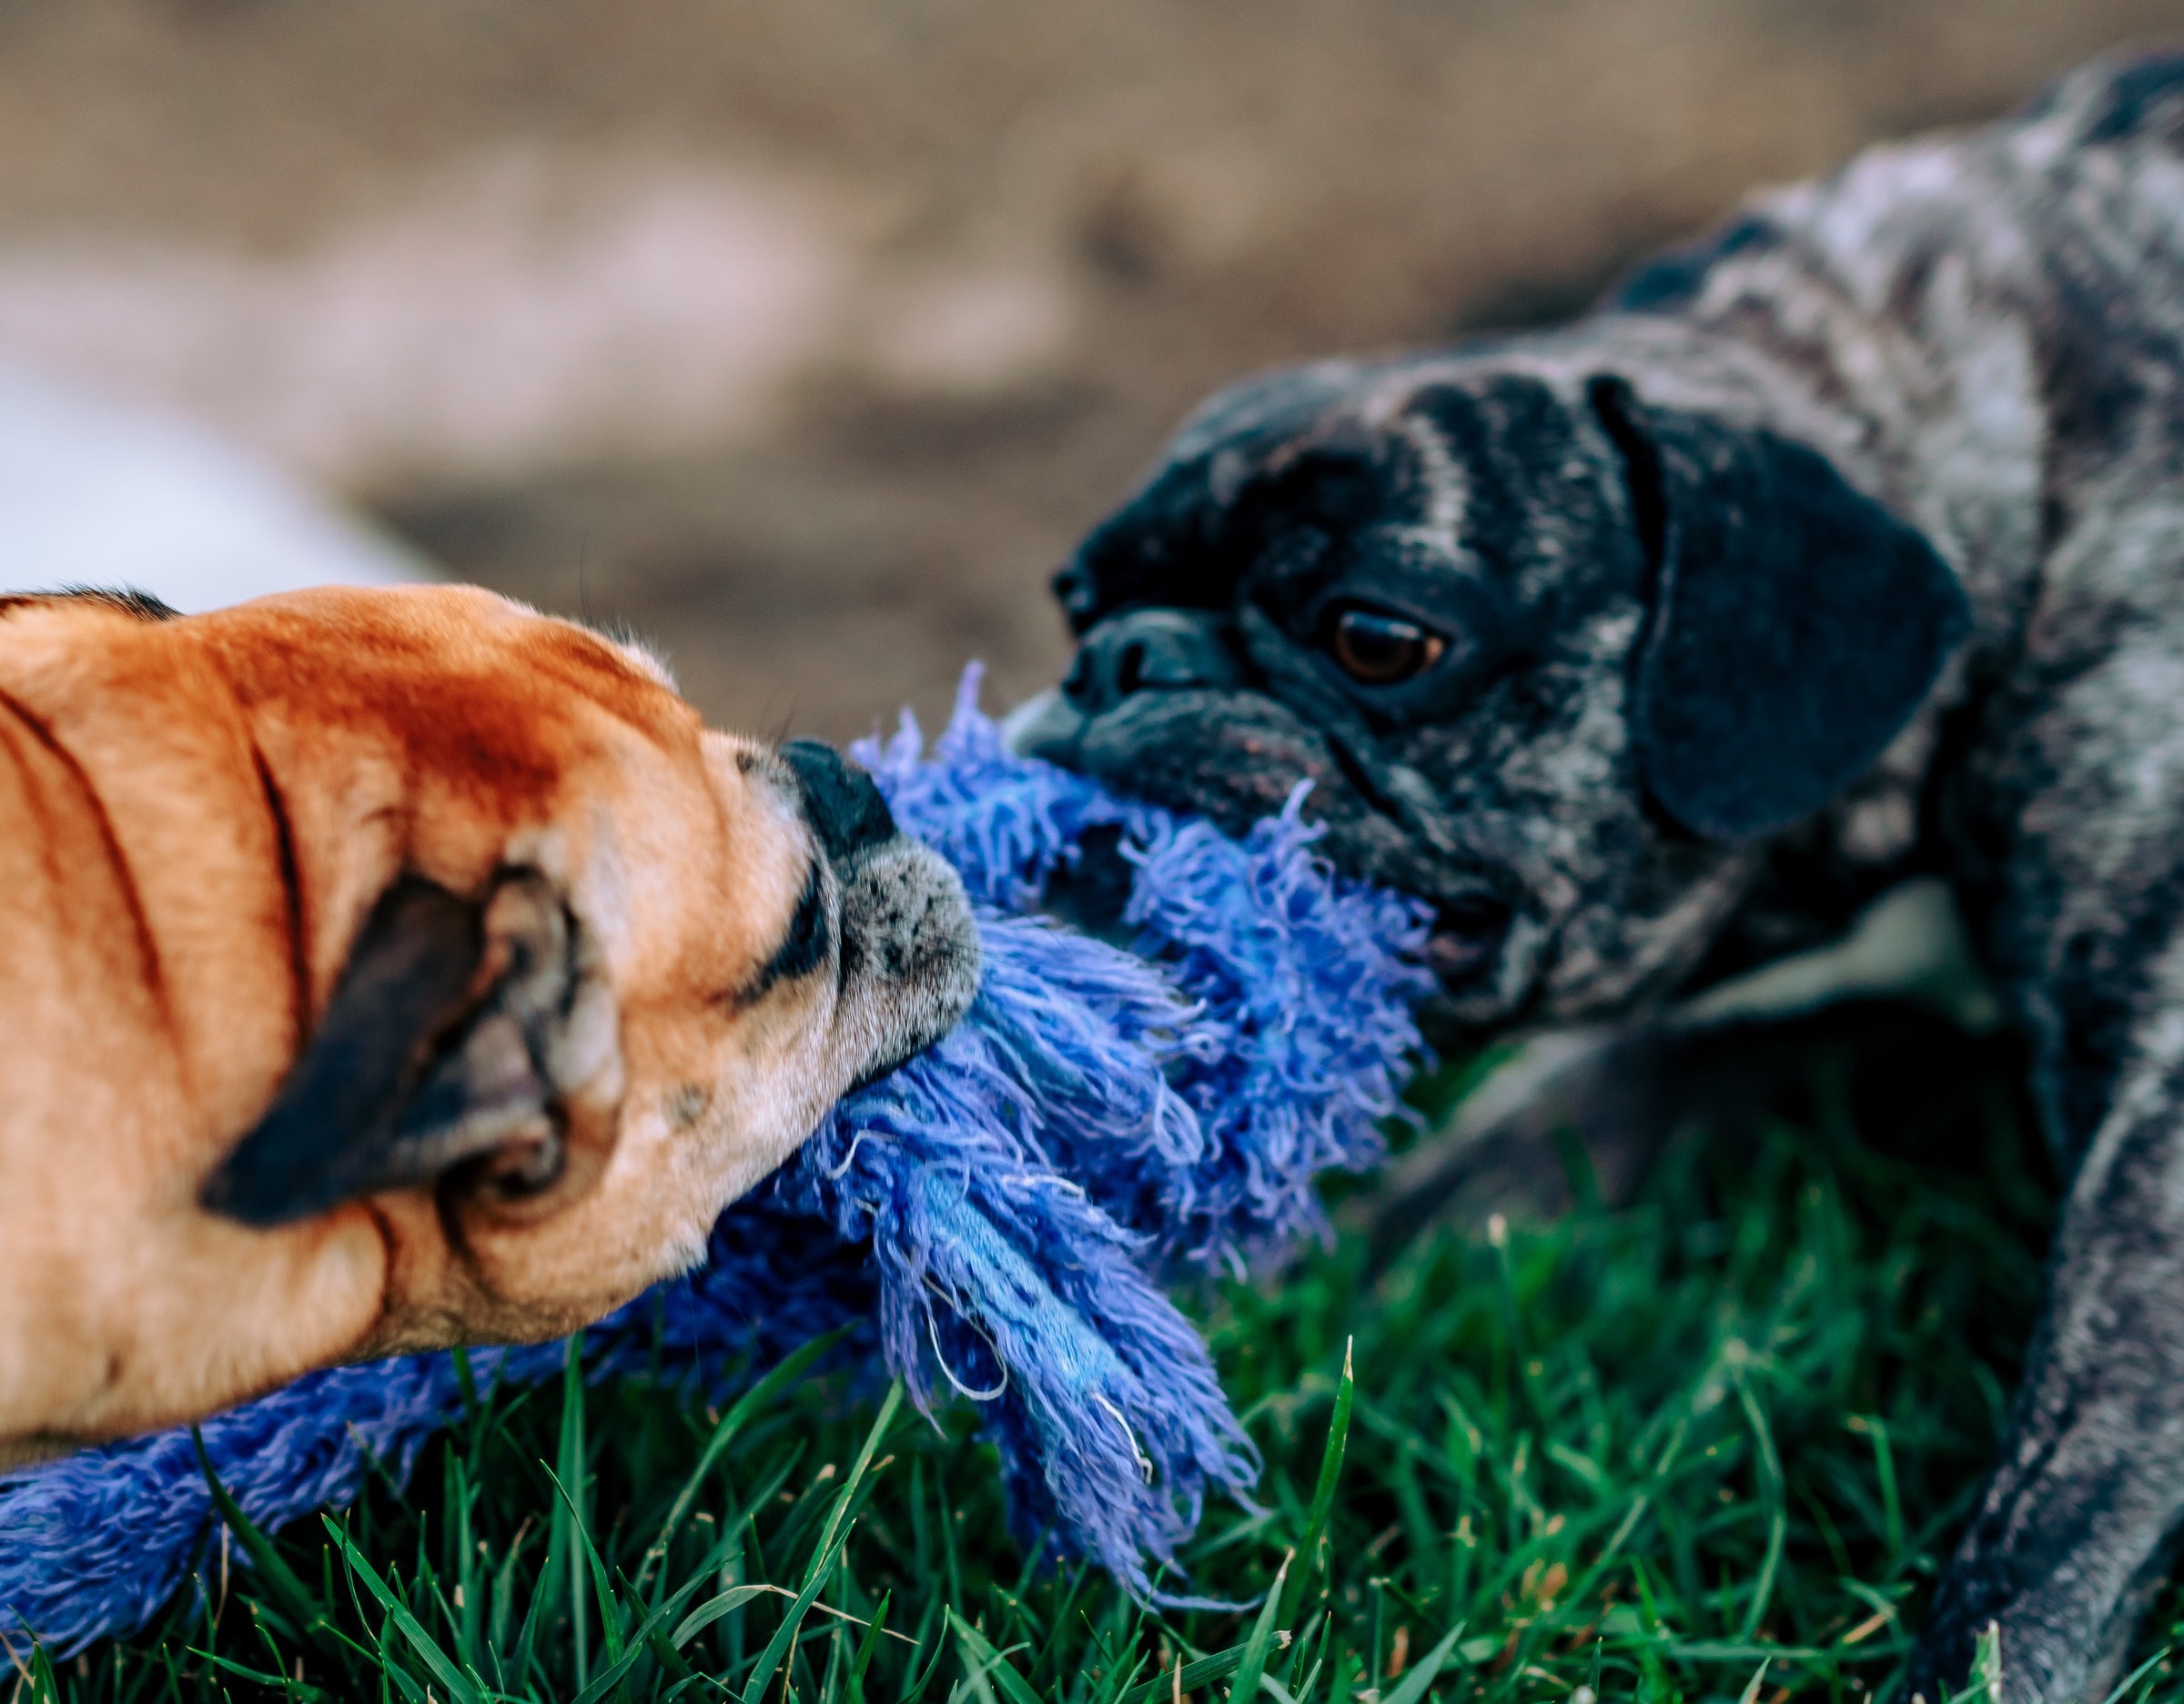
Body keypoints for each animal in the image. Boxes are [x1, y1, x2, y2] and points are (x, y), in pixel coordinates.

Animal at [1017, 53, 2184, 1704]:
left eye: (1379, 636)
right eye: (1077, 601)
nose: (1115, 661)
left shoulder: (2161, 1111)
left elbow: (2063, 1491)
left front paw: (1979, 1662)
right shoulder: (1700, 1037)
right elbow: (1433, 1204)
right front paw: (1241, 1359)